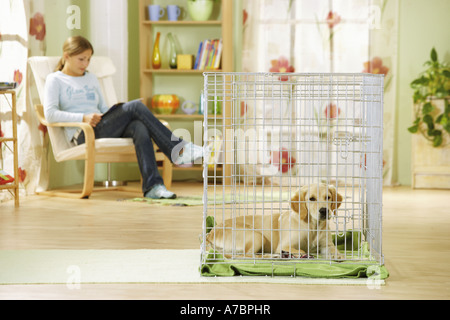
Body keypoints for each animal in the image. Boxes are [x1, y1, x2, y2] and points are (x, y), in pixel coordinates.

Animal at [206, 182, 342, 260]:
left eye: (328, 197)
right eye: (311, 199)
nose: (324, 211)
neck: (313, 226)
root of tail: (210, 233)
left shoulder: (326, 245)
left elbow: (333, 249)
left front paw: (338, 255)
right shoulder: (284, 245)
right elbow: (302, 250)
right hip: (256, 236)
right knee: (246, 255)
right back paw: (272, 256)